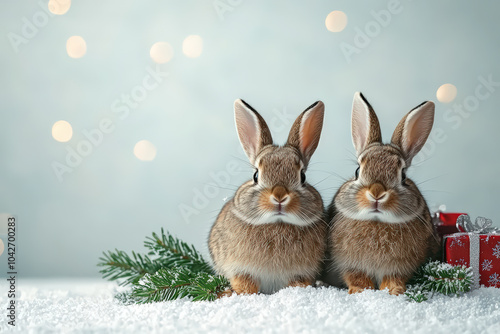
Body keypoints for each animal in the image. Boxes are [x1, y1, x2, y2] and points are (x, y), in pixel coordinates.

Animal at [209, 98, 326, 294]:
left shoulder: (302, 273)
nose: (279, 196)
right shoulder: (239, 269)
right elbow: (245, 283)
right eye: (256, 175)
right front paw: (242, 293)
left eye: (302, 177)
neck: (277, 224)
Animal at [324, 91, 438, 294]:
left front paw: (393, 291)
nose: (376, 193)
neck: (376, 220)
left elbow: (394, 278)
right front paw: (361, 291)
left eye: (403, 175)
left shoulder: (400, 267)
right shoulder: (349, 265)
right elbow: (357, 277)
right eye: (357, 171)